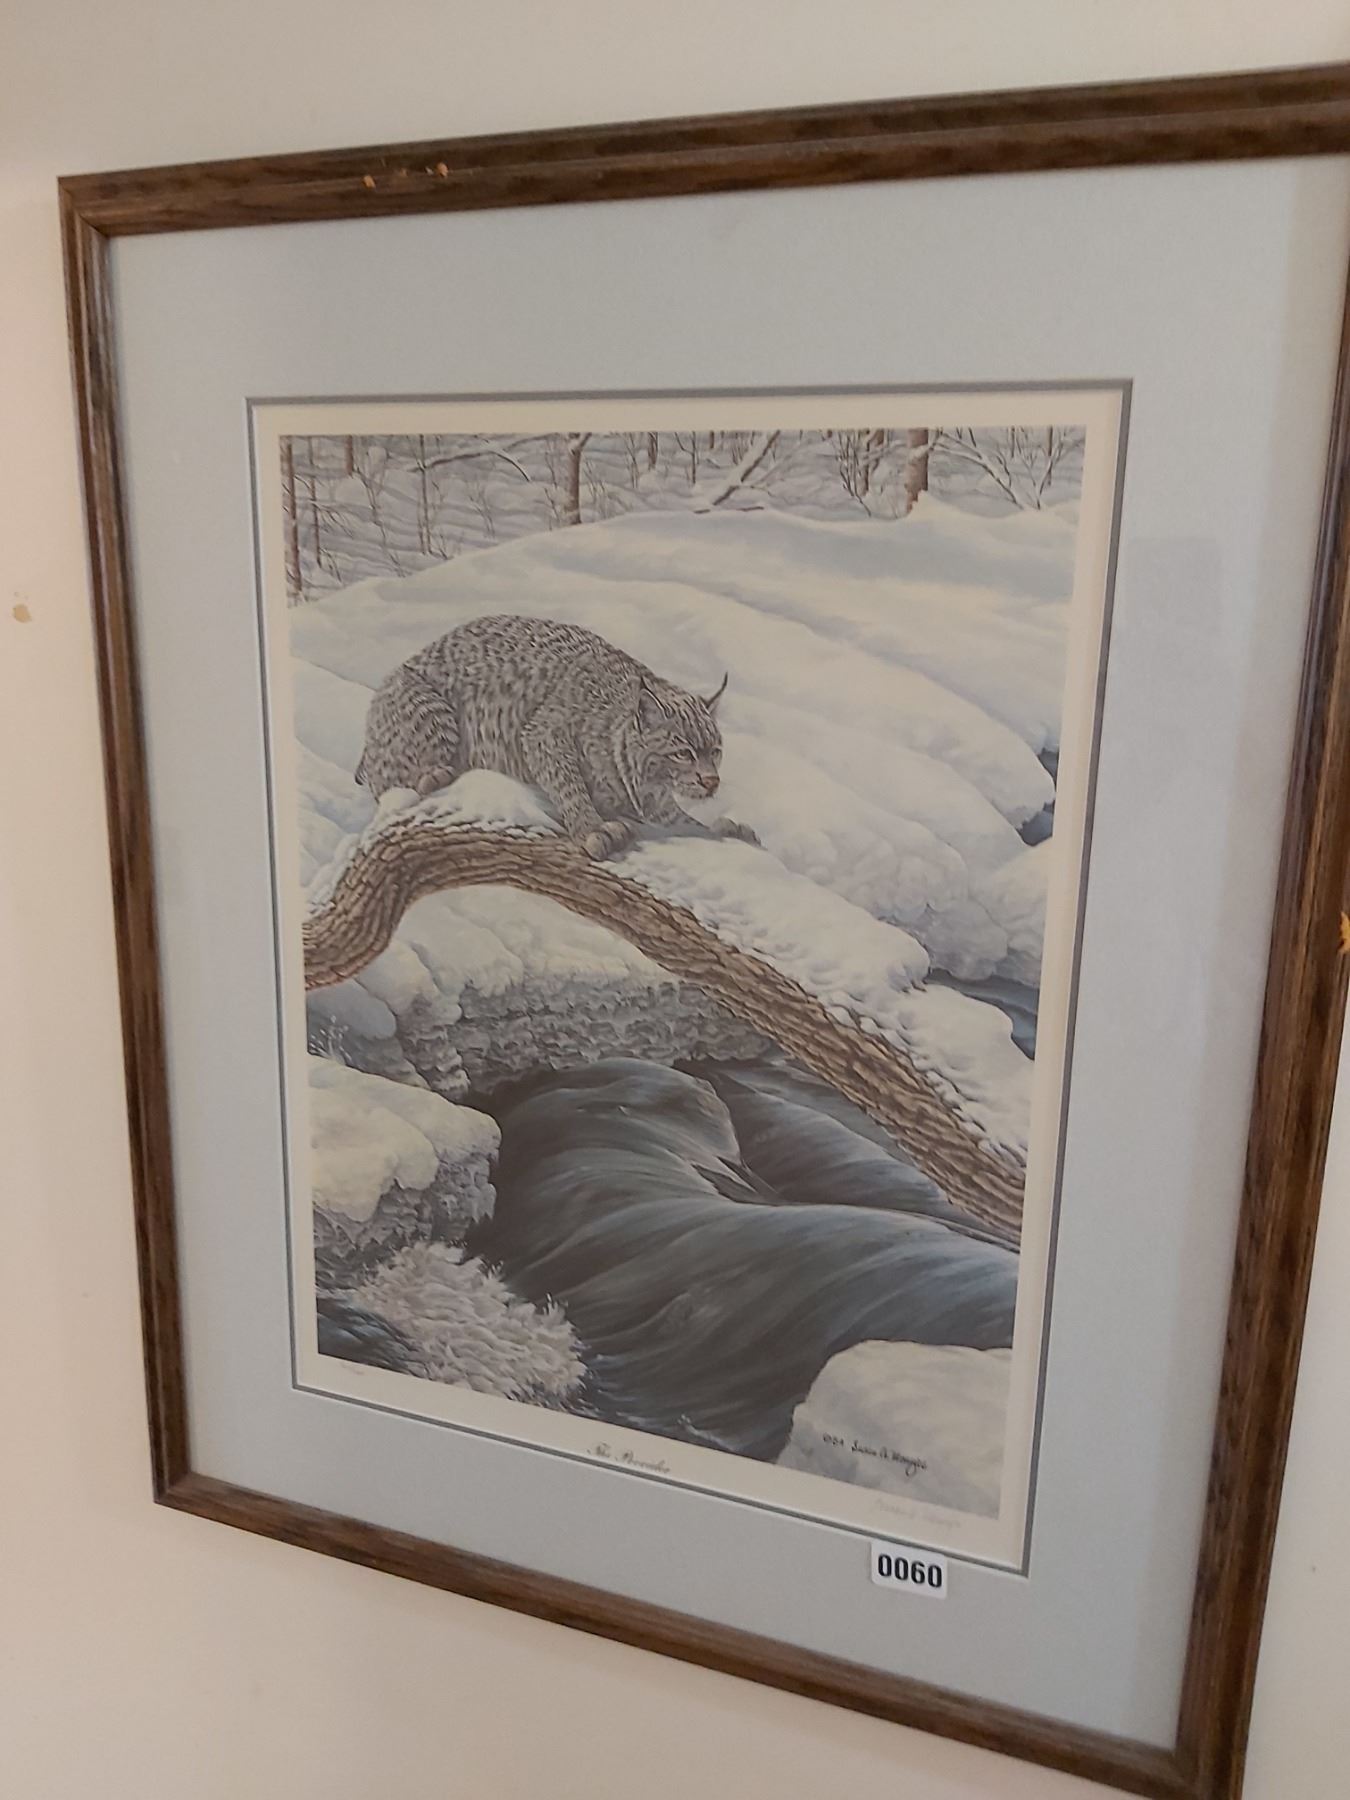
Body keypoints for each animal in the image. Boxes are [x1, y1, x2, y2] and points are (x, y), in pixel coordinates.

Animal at [356, 614, 760, 860]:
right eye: (683, 753)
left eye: (715, 751)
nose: (711, 782)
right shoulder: (542, 733)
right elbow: (568, 782)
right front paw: (592, 828)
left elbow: (682, 820)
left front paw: (724, 830)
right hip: (432, 709)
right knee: (385, 784)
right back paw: (433, 775)